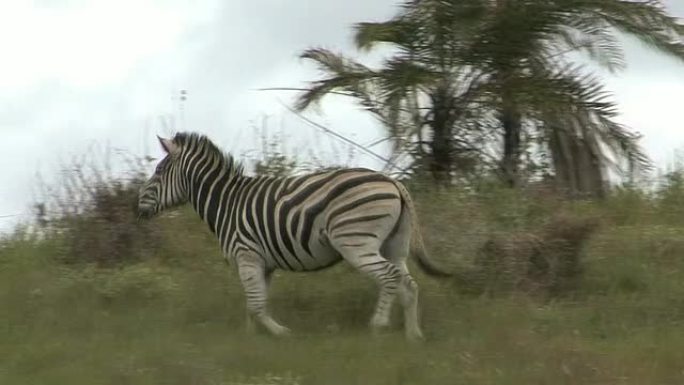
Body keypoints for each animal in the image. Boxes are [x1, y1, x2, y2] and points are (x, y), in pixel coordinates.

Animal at [138, 132, 448, 340]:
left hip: (356, 241)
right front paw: (249, 340)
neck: (226, 201)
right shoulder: (263, 263)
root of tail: (393, 181)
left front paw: (280, 333)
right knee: (409, 284)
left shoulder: (246, 254)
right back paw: (413, 335)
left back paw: (378, 326)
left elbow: (256, 304)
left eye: (159, 171)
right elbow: (254, 303)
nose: (137, 206)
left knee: (389, 277)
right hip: (393, 245)